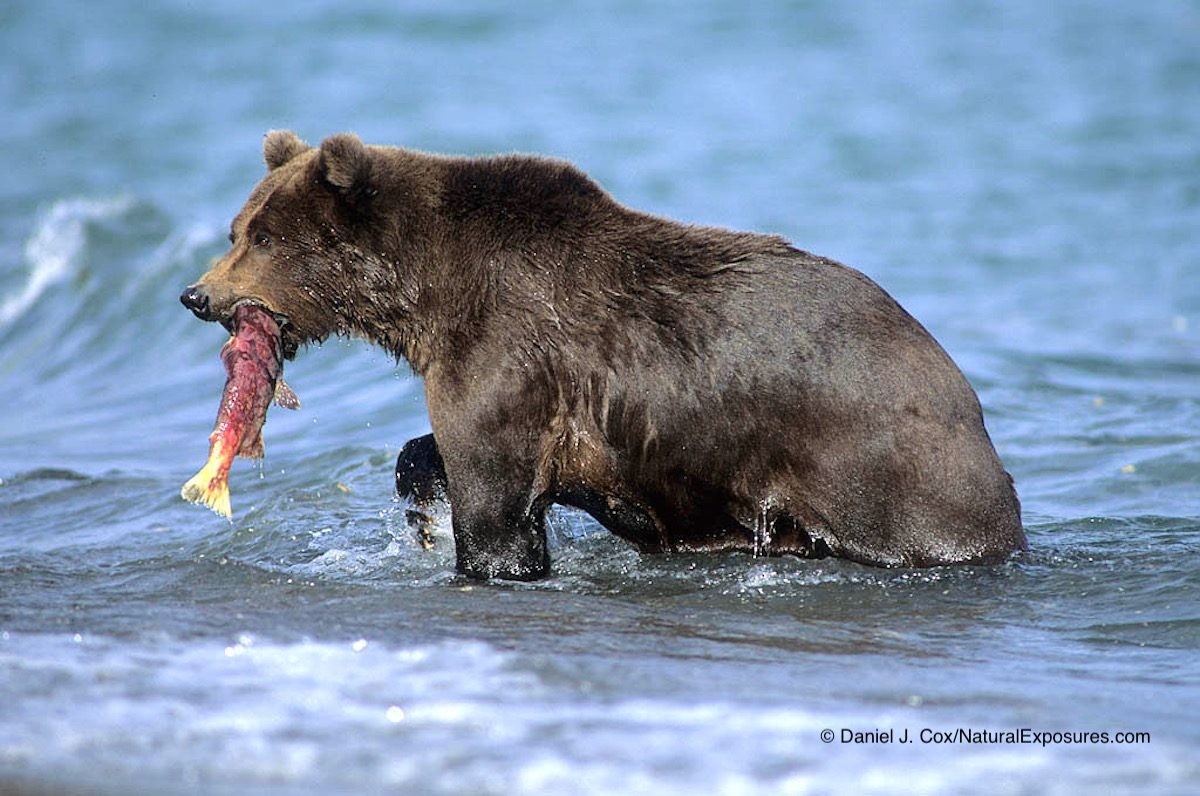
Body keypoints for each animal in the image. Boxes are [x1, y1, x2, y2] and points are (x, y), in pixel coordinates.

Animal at [181, 130, 1026, 581]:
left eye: (265, 237)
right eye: (237, 229)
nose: (198, 294)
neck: (430, 296)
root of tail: (961, 393)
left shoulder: (509, 349)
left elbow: (494, 500)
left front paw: (483, 554)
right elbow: (455, 453)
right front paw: (421, 501)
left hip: (882, 463)